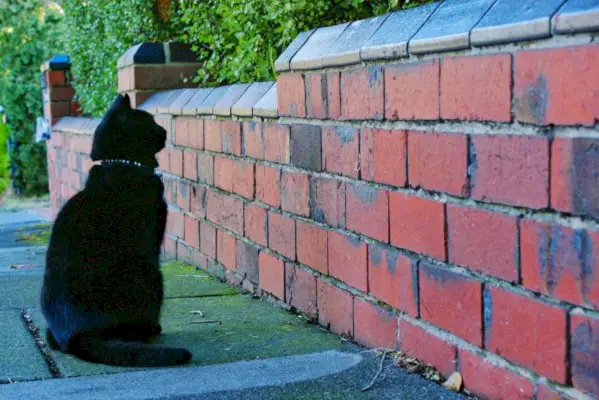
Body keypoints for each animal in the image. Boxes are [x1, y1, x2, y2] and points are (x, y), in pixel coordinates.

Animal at [41, 94, 192, 366]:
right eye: (150, 121)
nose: (164, 130)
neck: (122, 164)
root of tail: (79, 335)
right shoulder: (154, 239)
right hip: (152, 274)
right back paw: (152, 330)